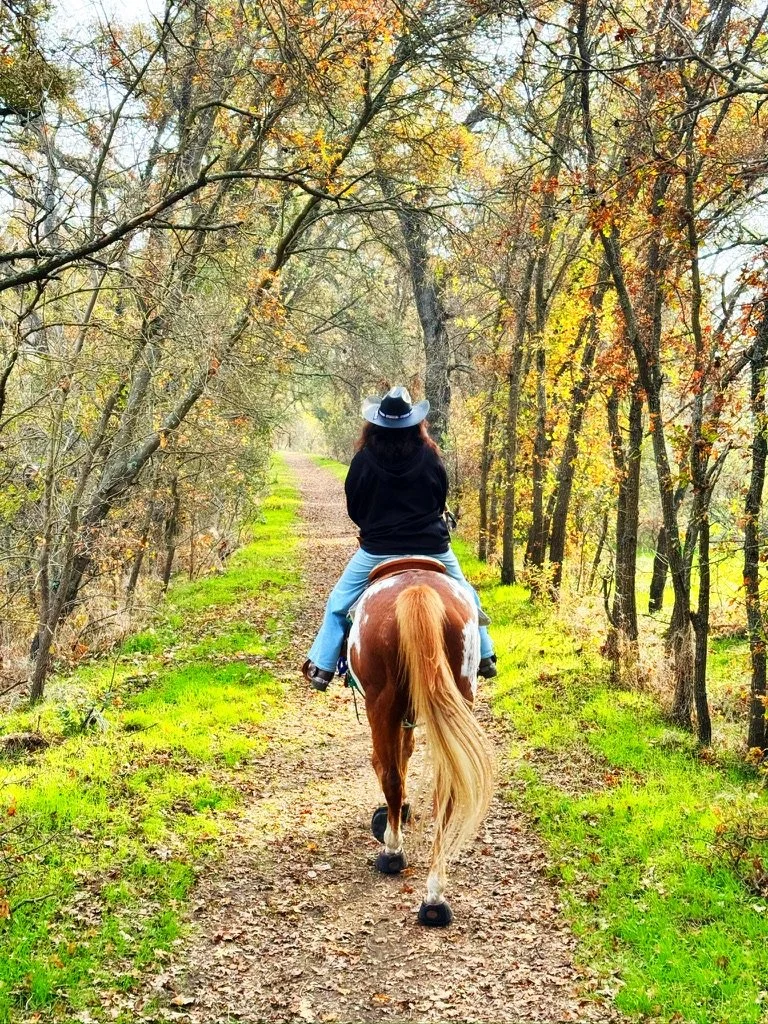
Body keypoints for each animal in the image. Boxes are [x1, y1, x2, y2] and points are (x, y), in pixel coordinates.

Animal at [347, 558, 495, 927]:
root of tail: (417, 592)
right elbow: (406, 751)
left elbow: (391, 762)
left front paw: (390, 817)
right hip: (459, 693)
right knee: (447, 791)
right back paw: (435, 896)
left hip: (380, 702)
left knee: (390, 775)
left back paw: (392, 851)